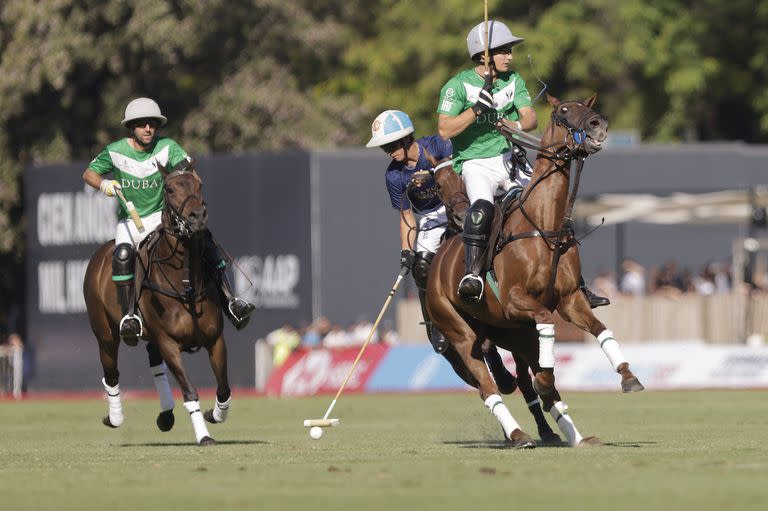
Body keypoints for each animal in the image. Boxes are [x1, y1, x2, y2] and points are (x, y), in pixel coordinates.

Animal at [83, 160, 231, 448]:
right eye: (170, 189)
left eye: (199, 184)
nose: (197, 217)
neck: (185, 281)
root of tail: (100, 254)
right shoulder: (168, 342)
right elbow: (190, 391)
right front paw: (204, 436)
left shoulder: (215, 339)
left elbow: (224, 388)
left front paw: (215, 415)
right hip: (104, 332)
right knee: (111, 374)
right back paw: (114, 417)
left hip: (150, 336)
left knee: (155, 365)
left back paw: (165, 415)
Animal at [428, 95, 644, 448]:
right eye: (563, 111)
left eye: (587, 106)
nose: (598, 125)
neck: (544, 224)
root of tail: (437, 261)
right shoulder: (516, 300)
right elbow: (545, 323)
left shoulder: (571, 300)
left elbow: (601, 330)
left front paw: (629, 376)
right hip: (459, 331)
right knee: (488, 388)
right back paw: (518, 434)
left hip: (510, 331)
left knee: (531, 380)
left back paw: (576, 437)